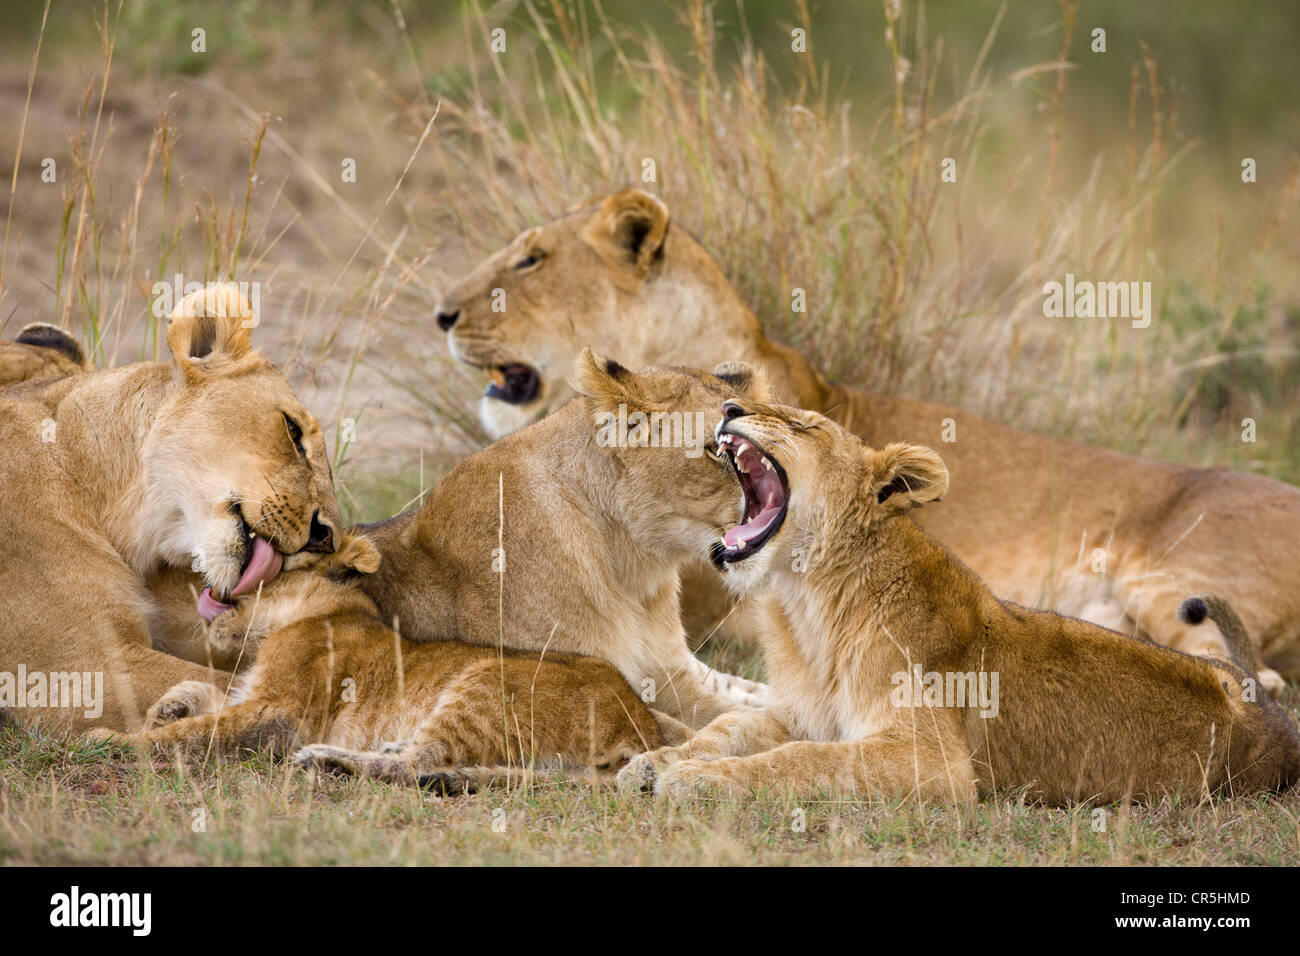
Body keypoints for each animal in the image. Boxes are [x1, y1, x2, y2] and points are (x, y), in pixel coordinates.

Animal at [96, 530, 680, 791]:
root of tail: (641, 726)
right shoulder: (253, 691)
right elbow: (206, 694)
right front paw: (166, 708)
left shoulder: (282, 714)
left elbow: (197, 731)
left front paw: (110, 740)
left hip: (486, 681)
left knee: (415, 766)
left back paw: (328, 760)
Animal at [617, 400, 1300, 805]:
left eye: (801, 423)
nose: (729, 406)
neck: (809, 602)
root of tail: (1264, 709)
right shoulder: (799, 711)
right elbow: (733, 726)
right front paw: (655, 762)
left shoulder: (933, 762)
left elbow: (799, 762)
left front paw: (695, 779)